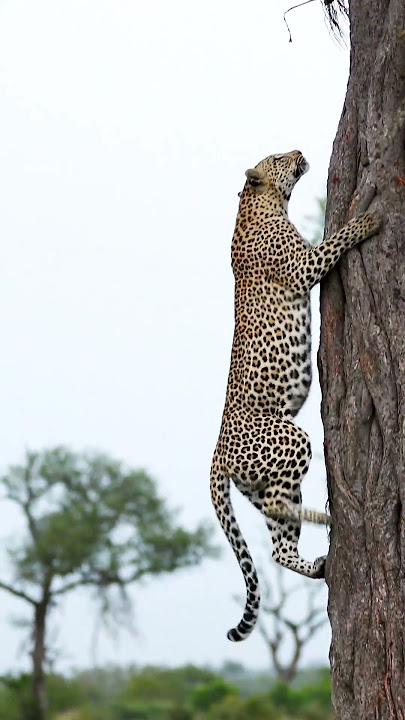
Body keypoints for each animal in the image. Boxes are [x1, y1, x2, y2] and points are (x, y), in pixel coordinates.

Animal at [210, 149, 382, 642]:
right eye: (277, 157)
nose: (300, 152)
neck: (258, 203)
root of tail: (216, 456)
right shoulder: (305, 266)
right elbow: (335, 240)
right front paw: (370, 219)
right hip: (291, 440)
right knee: (280, 511)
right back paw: (327, 520)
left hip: (260, 482)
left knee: (277, 545)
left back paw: (318, 561)